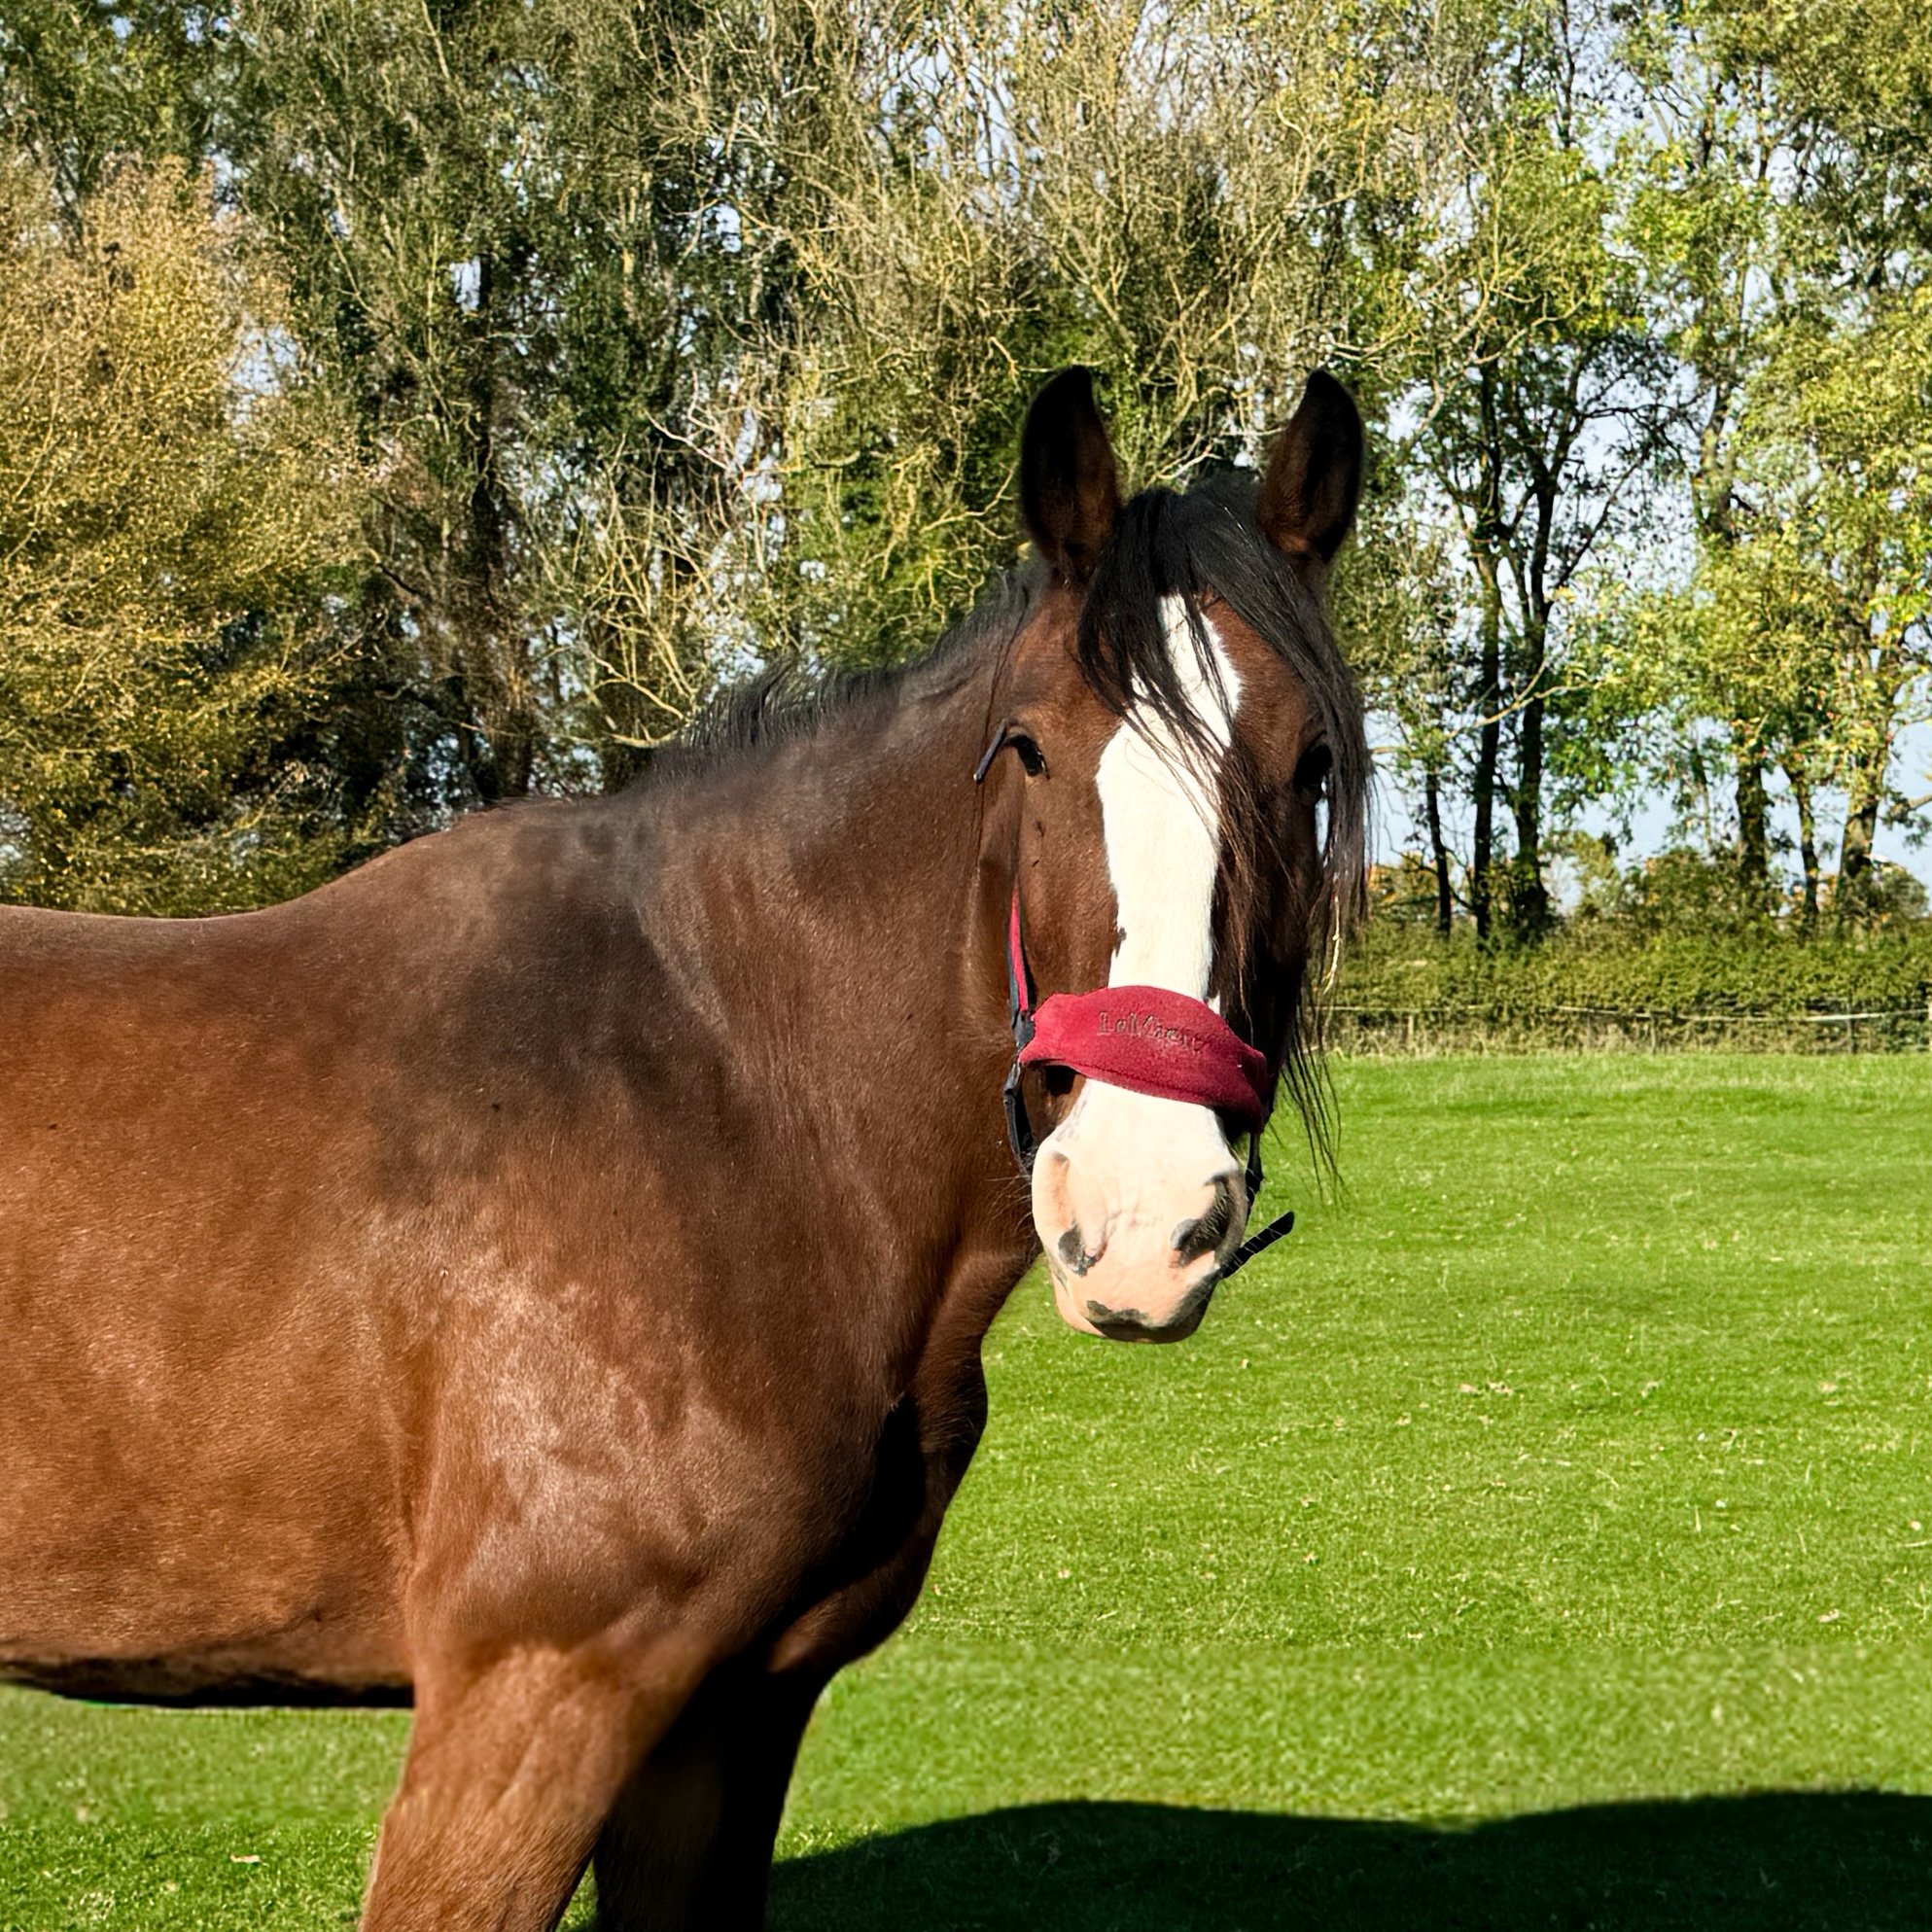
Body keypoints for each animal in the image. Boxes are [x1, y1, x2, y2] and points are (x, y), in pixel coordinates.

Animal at [0, 364, 1368, 1929]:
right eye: (1029, 746)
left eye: (1310, 766)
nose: (1142, 1216)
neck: (720, 1101)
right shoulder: (530, 1697)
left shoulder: (725, 1717)